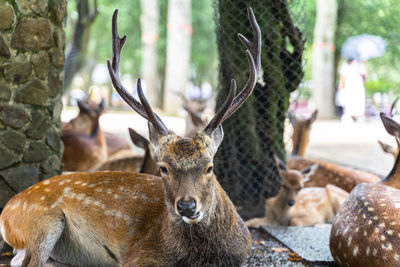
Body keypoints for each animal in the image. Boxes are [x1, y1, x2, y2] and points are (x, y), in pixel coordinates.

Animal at [0, 8, 260, 267]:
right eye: (164, 168)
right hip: (44, 221)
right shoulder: (139, 255)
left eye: (210, 167)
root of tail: (6, 210)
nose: (187, 206)